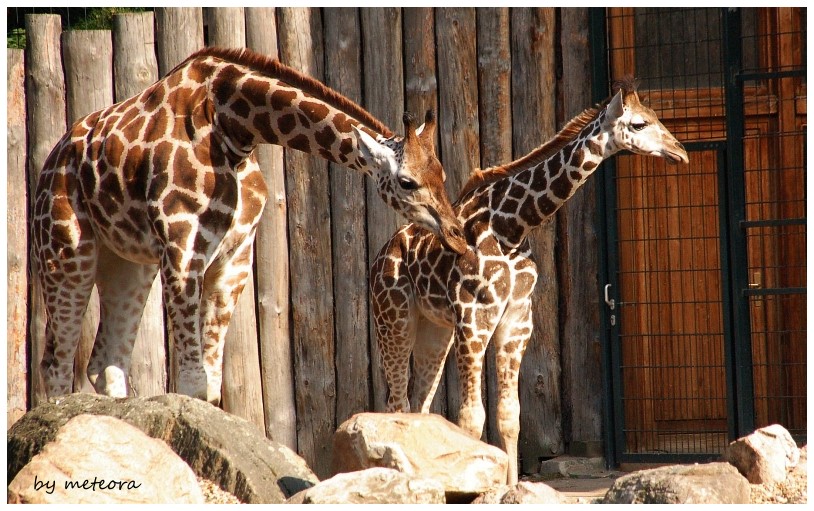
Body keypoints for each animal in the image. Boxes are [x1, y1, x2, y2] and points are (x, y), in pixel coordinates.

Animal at [33, 47, 466, 404]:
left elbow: (209, 385)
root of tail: (51, 158)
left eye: (442, 174)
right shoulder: (181, 245)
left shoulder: (235, 256)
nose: (458, 238)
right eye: (407, 182)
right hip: (66, 250)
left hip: (128, 263)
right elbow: (193, 384)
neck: (234, 128)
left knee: (105, 362)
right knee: (56, 364)